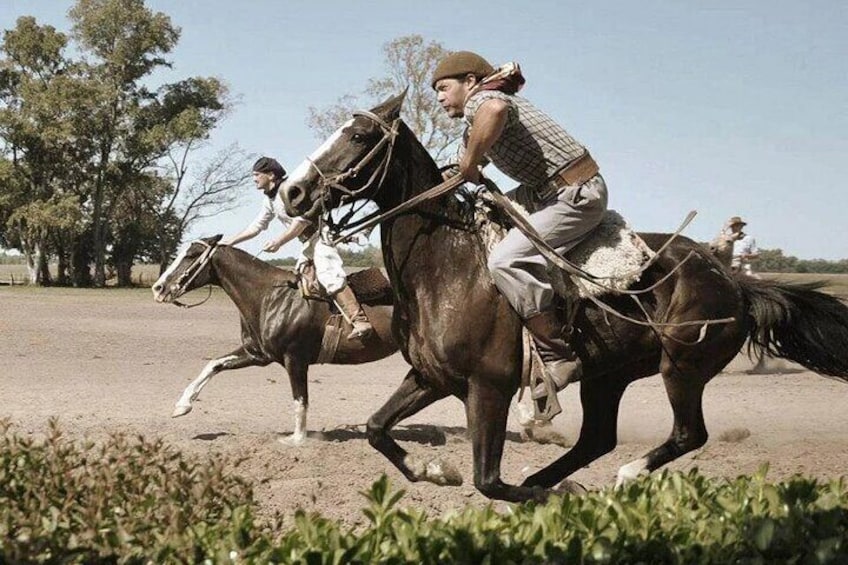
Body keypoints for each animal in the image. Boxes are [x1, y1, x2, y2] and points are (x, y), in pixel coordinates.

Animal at [152, 236, 398, 442]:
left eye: (191, 255)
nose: (158, 288)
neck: (270, 297)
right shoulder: (257, 354)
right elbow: (214, 364)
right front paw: (182, 406)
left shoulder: (295, 359)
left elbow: (300, 399)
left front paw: (297, 439)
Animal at [280, 93, 848, 502]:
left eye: (358, 135)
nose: (292, 192)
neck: (445, 266)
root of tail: (735, 283)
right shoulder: (429, 376)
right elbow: (377, 428)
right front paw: (435, 469)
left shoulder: (488, 386)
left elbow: (489, 481)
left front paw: (542, 491)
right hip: (608, 376)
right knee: (597, 438)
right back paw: (560, 478)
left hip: (682, 368)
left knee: (688, 435)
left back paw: (623, 476)